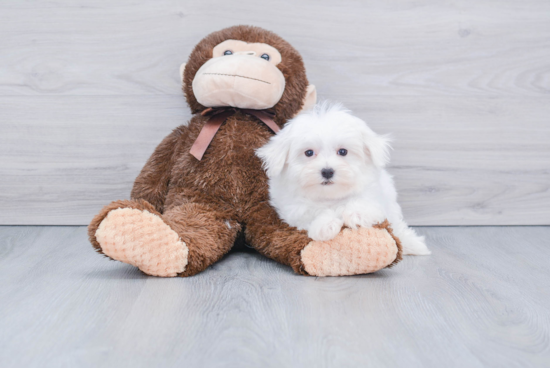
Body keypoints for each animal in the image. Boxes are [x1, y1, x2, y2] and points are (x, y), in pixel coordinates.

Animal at [256, 101, 434, 256]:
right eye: (308, 153)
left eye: (343, 152)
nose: (327, 171)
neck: (330, 196)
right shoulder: (293, 211)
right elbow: (312, 212)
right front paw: (325, 224)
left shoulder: (374, 194)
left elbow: (363, 202)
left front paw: (357, 213)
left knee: (397, 224)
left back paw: (413, 244)